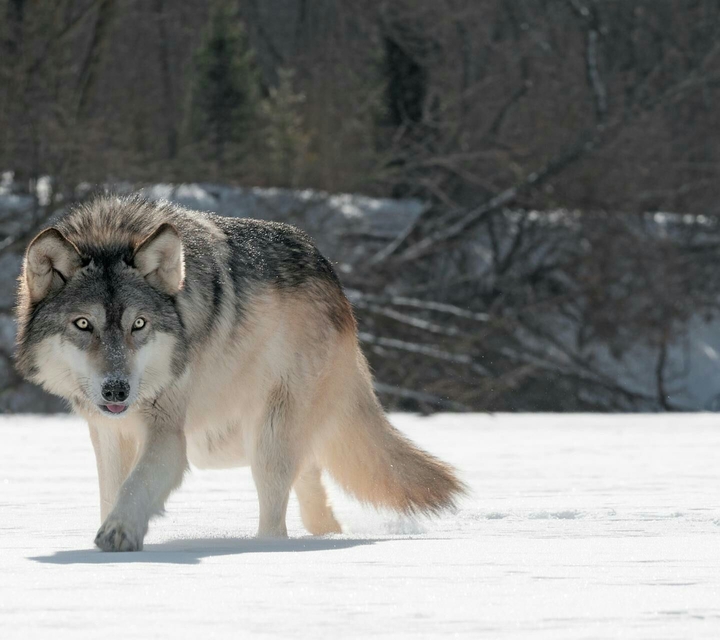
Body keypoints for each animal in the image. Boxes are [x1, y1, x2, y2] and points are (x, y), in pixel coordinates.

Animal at [14, 195, 465, 551]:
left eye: (138, 325)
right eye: (83, 324)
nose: (117, 391)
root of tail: (336, 285)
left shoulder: (167, 434)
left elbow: (137, 485)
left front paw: (119, 533)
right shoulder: (108, 433)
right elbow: (113, 490)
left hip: (263, 437)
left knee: (277, 517)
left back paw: (268, 549)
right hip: (226, 441)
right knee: (311, 483)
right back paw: (325, 535)